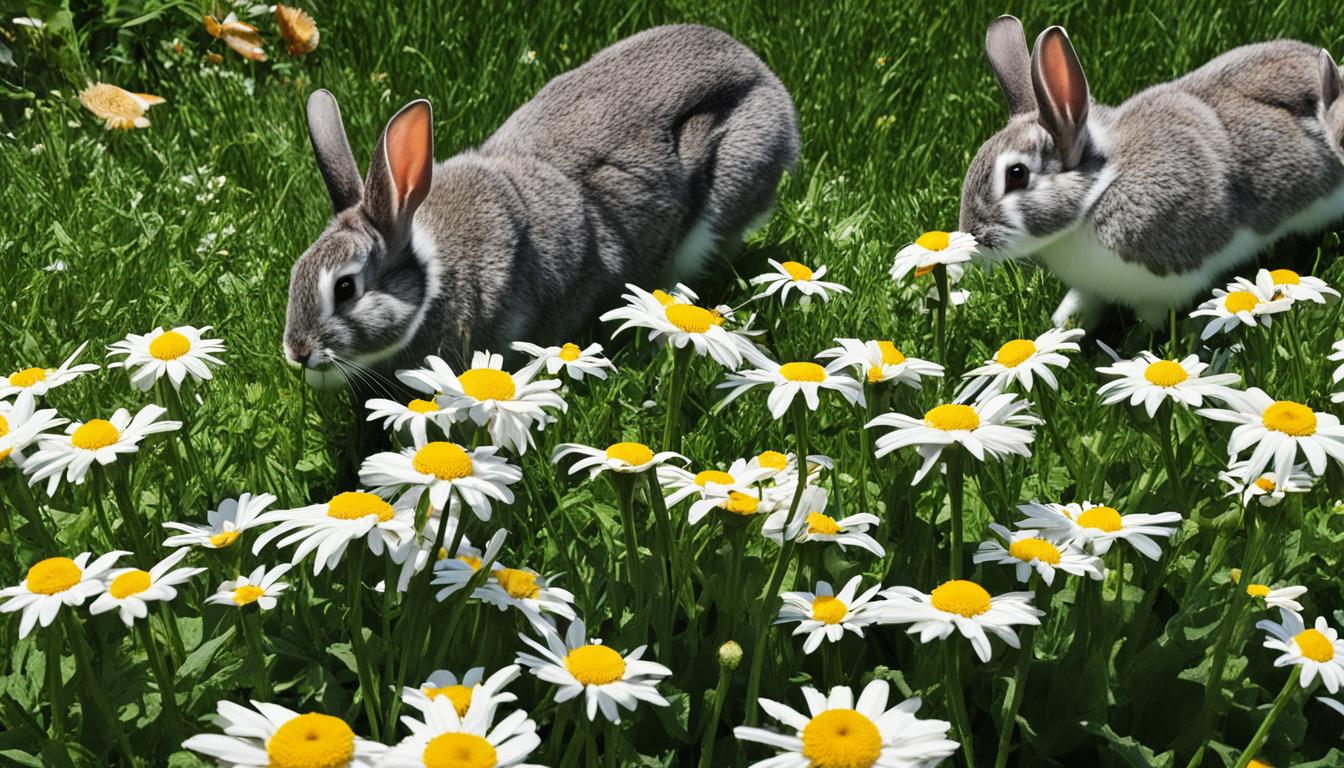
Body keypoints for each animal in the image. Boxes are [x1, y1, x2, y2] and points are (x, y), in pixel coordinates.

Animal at [959, 16, 1344, 329]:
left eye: (1017, 174)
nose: (973, 237)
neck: (1099, 190)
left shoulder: (1163, 287)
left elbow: (1150, 322)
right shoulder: (1090, 287)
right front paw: (1063, 327)